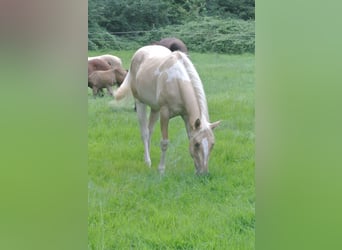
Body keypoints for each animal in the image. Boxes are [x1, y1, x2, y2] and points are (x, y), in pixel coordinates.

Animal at [114, 45, 219, 174]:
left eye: (212, 144)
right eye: (197, 144)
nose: (203, 173)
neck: (177, 81)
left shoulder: (186, 116)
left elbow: (189, 136)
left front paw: (195, 168)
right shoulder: (165, 113)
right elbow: (164, 142)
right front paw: (161, 169)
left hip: (155, 109)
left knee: (150, 131)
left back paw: (146, 157)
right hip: (140, 103)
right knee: (144, 132)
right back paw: (148, 161)